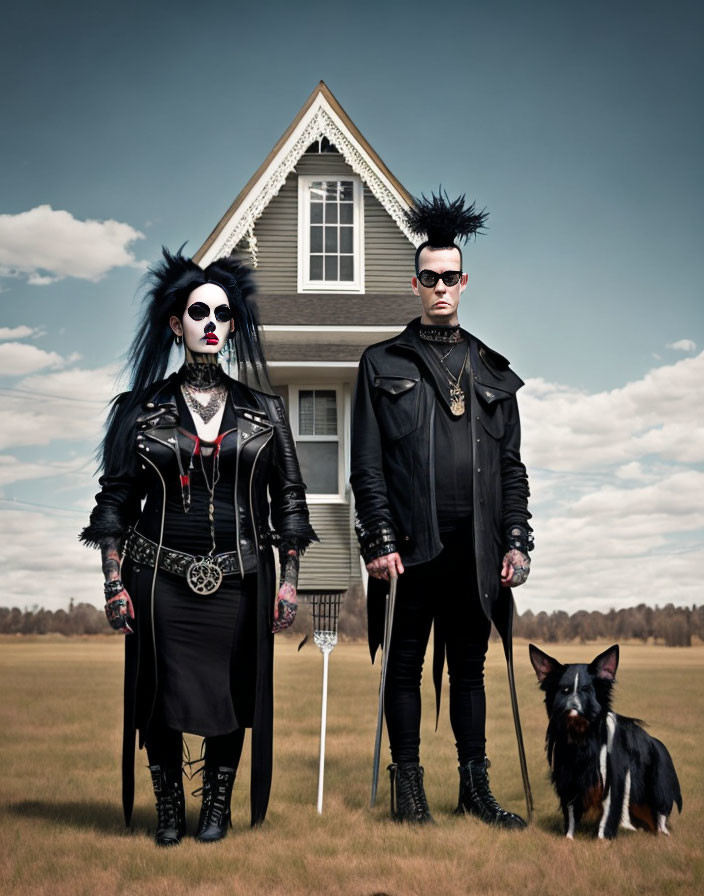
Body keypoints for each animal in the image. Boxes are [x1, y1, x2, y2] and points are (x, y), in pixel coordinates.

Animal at [532, 644, 680, 840]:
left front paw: (603, 840)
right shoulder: (568, 779)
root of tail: (656, 742)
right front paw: (569, 839)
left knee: (660, 816)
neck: (581, 737)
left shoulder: (614, 781)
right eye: (564, 690)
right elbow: (570, 815)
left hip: (658, 788)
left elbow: (609, 816)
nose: (572, 707)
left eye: (587, 690)